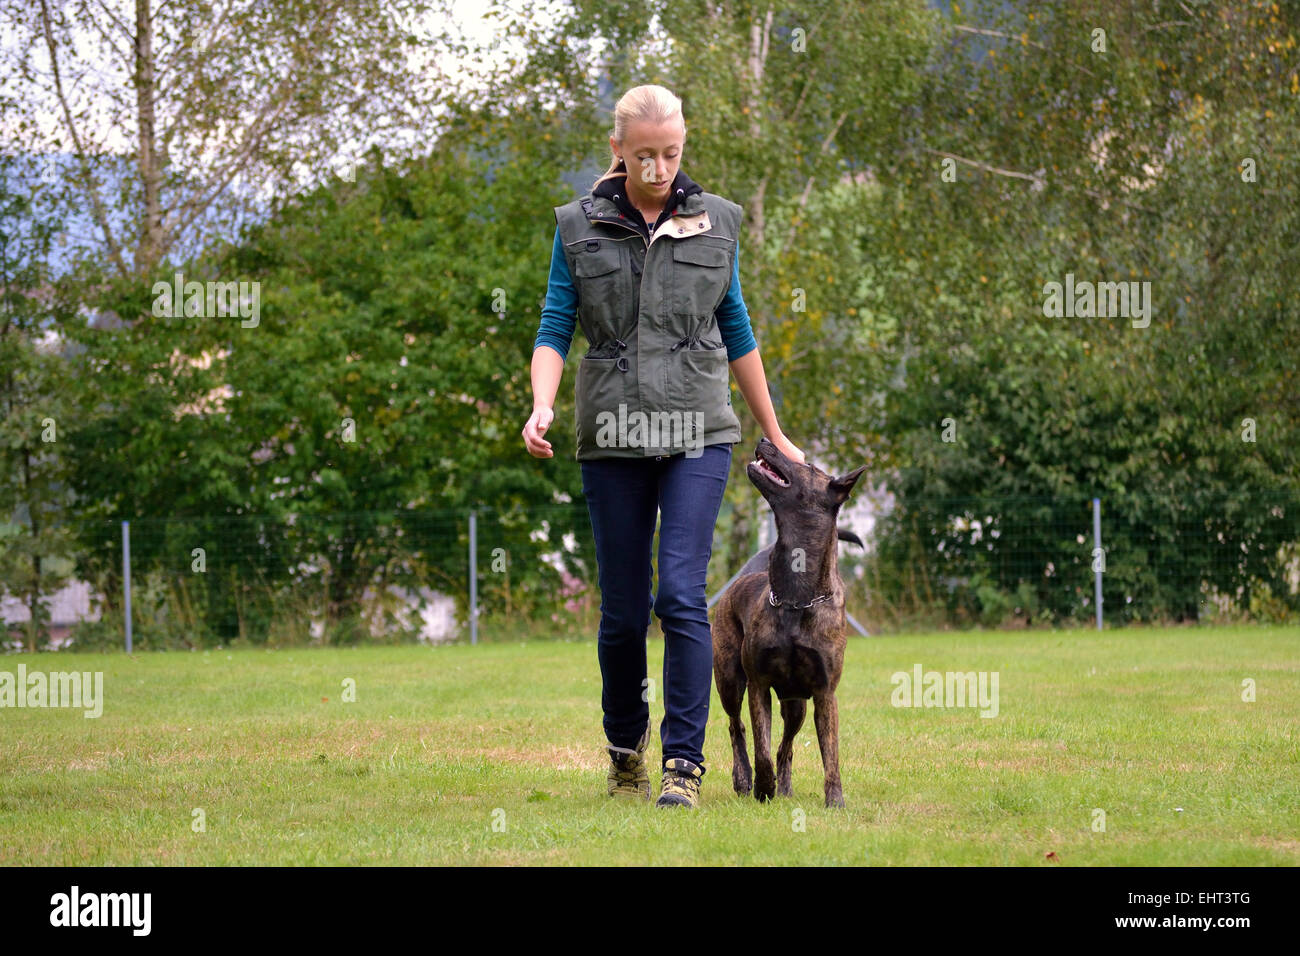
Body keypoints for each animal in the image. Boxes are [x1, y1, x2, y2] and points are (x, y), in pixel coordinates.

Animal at [712, 439, 863, 806]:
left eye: (808, 468)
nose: (766, 441)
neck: (797, 597)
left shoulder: (824, 693)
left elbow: (830, 754)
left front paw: (835, 800)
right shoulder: (759, 684)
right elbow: (761, 747)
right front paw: (762, 787)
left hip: (796, 706)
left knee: (787, 746)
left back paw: (785, 787)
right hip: (729, 680)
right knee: (736, 727)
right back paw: (745, 779)